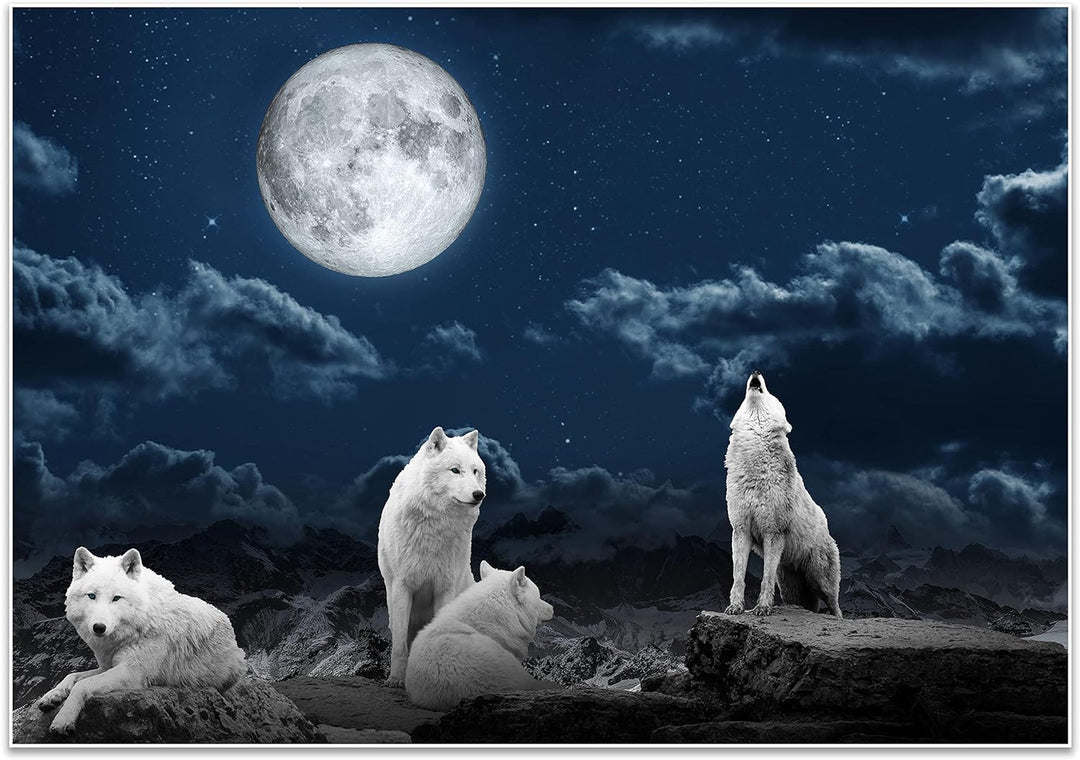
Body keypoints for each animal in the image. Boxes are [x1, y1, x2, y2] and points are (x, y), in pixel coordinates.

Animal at [36, 547, 247, 735]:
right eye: (92, 596)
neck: (142, 619)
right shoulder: (107, 666)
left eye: (116, 598)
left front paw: (63, 719)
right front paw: (51, 696)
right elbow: (72, 676)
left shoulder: (132, 672)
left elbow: (82, 685)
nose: (99, 627)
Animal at [378, 426, 486, 686]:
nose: (479, 494)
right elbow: (399, 645)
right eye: (455, 470)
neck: (434, 528)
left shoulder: (444, 587)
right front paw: (396, 679)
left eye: (475, 471)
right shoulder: (402, 587)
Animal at [724, 371, 843, 618]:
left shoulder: (773, 532)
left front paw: (763, 608)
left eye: (771, 395)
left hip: (821, 580)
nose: (756, 371)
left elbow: (765, 578)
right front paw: (736, 607)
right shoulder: (740, 531)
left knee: (836, 606)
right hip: (791, 589)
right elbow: (738, 577)